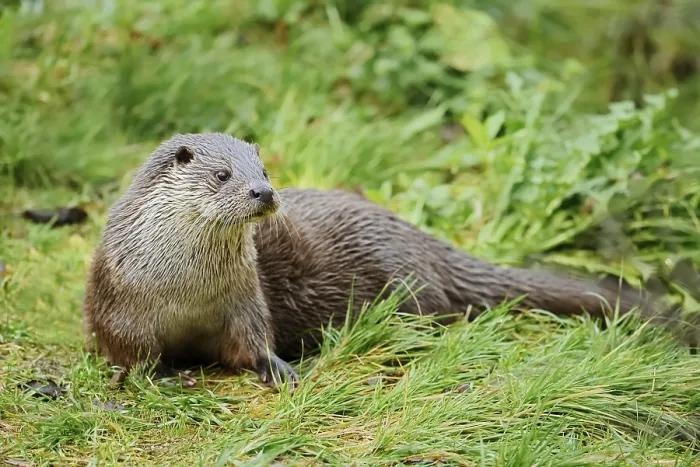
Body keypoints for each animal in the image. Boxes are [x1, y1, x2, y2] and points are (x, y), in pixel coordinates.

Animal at [83, 132, 660, 389]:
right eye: (223, 174)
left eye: (263, 169)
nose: (263, 193)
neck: (183, 289)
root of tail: (416, 235)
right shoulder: (117, 303)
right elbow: (126, 351)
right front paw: (153, 376)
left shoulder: (245, 301)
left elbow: (251, 343)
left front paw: (280, 369)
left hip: (405, 282)